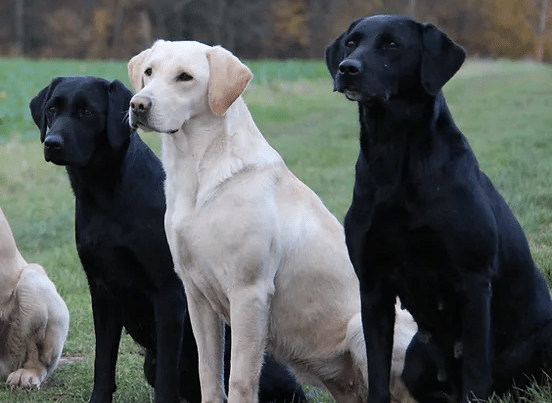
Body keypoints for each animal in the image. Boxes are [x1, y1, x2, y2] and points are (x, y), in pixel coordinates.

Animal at [30, 76, 306, 403]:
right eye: (52, 109)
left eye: (87, 112)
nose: (52, 143)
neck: (105, 196)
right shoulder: (102, 289)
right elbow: (103, 360)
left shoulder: (169, 293)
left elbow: (166, 374)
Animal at [326, 14, 552, 403]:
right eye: (352, 43)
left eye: (391, 44)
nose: (347, 68)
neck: (395, 159)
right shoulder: (372, 285)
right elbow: (376, 369)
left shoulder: (473, 280)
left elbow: (476, 372)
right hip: (416, 358)